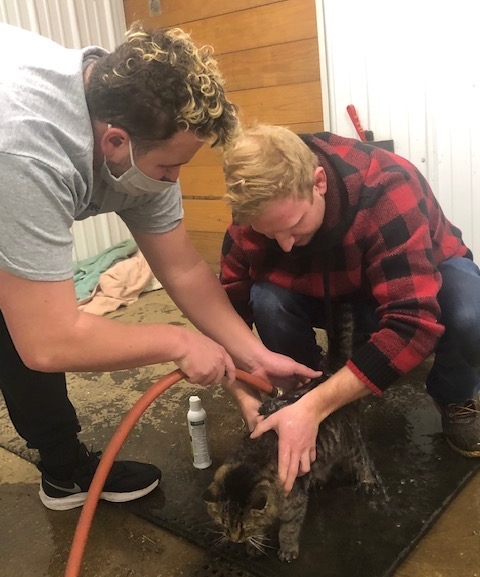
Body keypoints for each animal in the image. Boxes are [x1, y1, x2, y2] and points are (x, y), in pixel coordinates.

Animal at [202, 304, 382, 560]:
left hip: (351, 438)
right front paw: (255, 544)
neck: (251, 463)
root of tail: (328, 374)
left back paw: (367, 480)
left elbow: (288, 529)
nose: (234, 539)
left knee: (362, 459)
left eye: (244, 527)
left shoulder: (294, 506)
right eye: (224, 525)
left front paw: (286, 548)